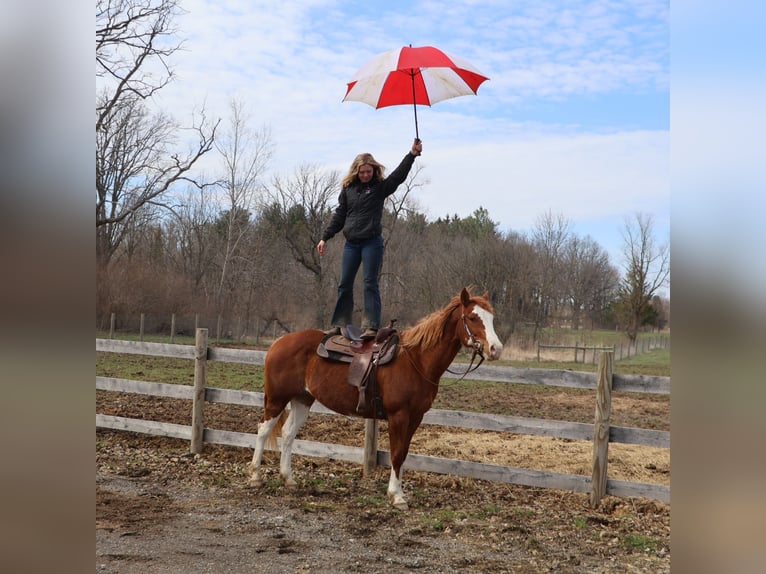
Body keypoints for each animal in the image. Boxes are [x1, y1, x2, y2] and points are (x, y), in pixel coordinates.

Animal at [247, 287, 503, 510]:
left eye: (491, 318)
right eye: (472, 318)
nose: (496, 349)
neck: (416, 360)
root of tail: (279, 342)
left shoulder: (415, 417)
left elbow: (404, 453)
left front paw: (398, 492)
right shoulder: (398, 416)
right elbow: (396, 454)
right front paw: (397, 496)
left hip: (302, 399)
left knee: (288, 433)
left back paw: (288, 478)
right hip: (277, 399)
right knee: (263, 430)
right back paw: (255, 476)